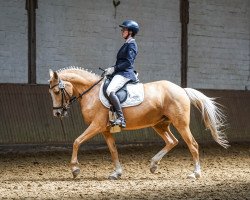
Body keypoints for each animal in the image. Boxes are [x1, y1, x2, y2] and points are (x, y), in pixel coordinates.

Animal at [48, 67, 229, 180]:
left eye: (57, 91)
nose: (57, 113)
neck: (91, 93)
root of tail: (181, 89)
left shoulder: (96, 126)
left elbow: (77, 141)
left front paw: (75, 169)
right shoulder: (105, 130)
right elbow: (113, 150)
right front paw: (117, 173)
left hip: (181, 124)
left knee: (193, 145)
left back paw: (195, 174)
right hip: (159, 124)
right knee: (172, 141)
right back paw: (154, 165)